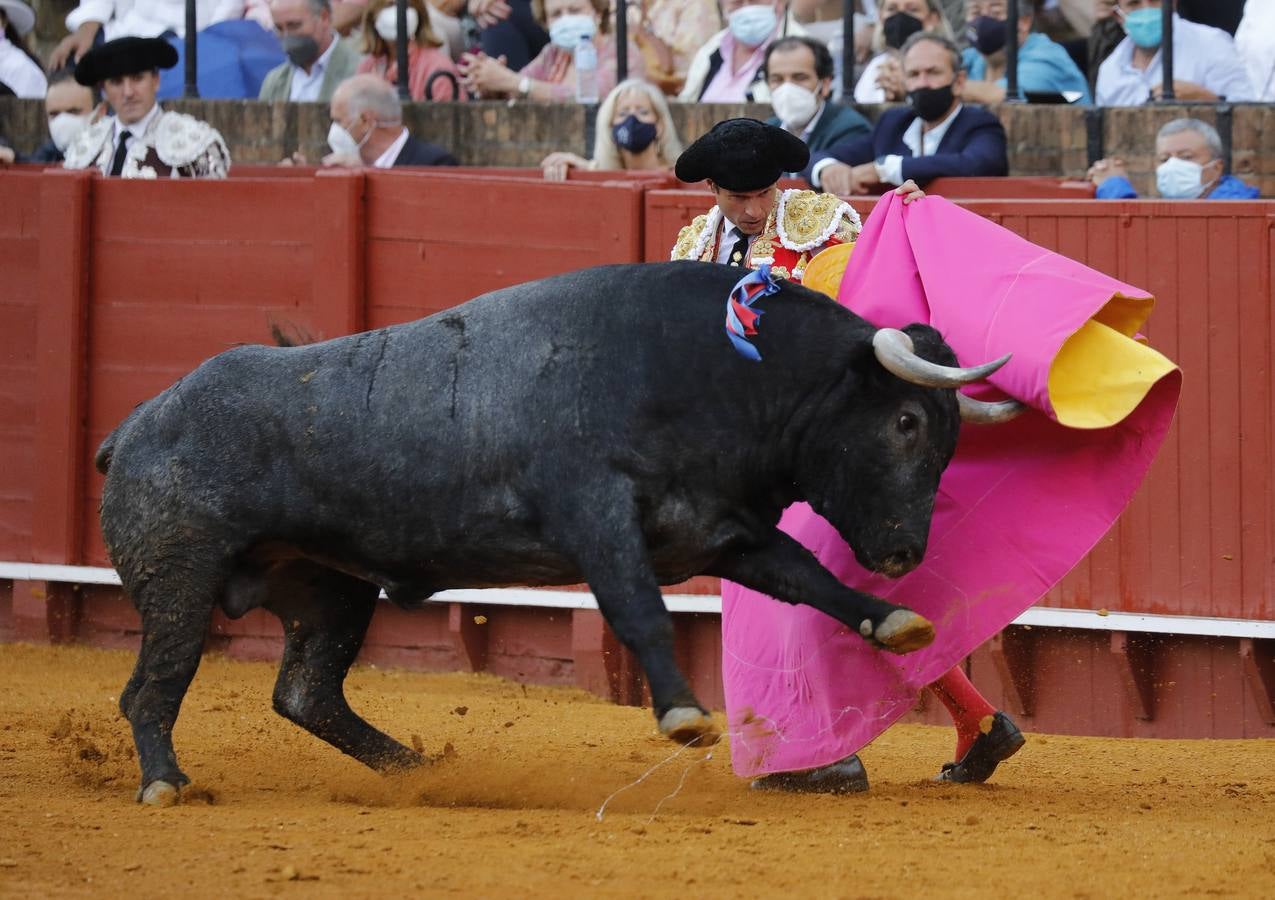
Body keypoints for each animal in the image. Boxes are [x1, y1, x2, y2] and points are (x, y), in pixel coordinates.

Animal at [96, 260, 1004, 800]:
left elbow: (809, 580)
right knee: (153, 686)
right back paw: (167, 783)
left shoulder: (721, 531)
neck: (712, 370)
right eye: (905, 423)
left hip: (329, 588)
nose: (904, 553)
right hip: (181, 577)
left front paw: (896, 620)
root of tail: (136, 423)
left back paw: (412, 773)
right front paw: (684, 716)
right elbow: (640, 613)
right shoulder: (598, 521)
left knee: (307, 691)